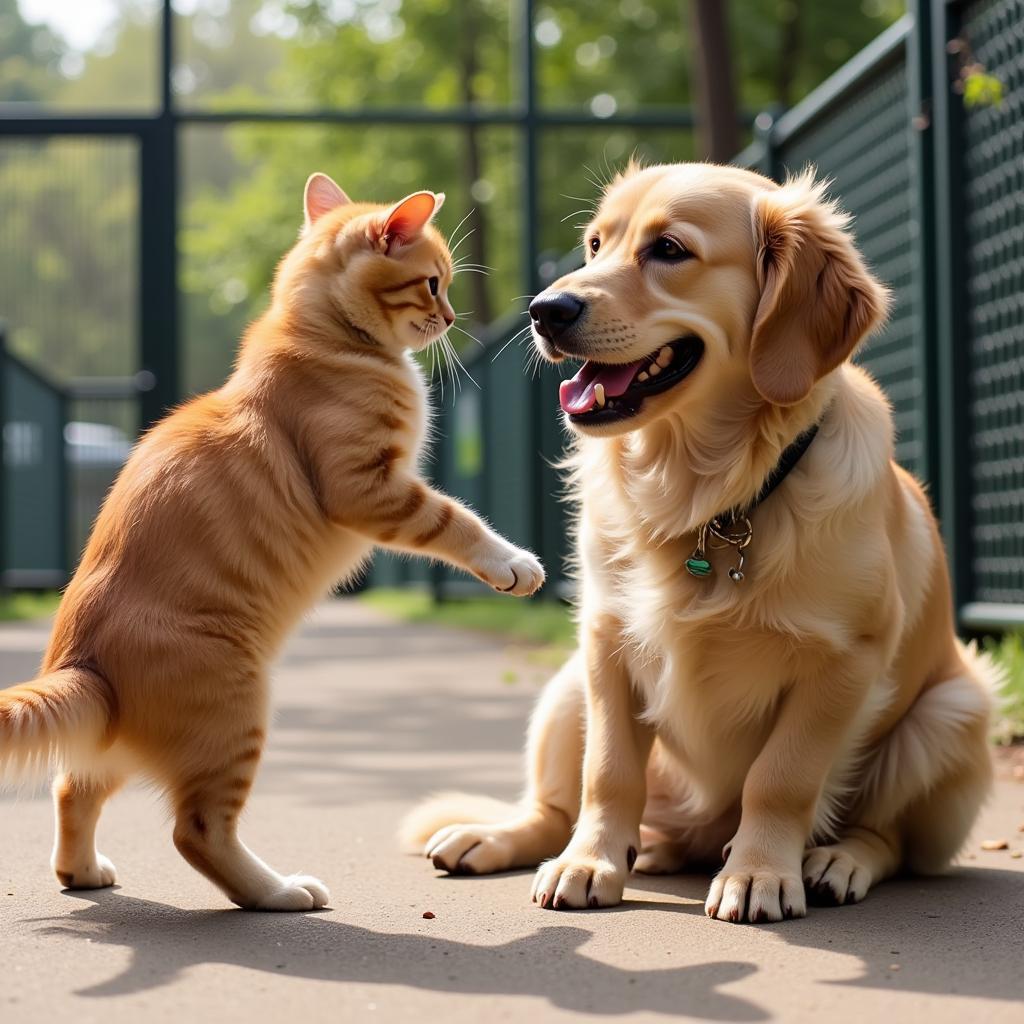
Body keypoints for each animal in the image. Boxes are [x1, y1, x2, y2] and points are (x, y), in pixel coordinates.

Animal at [0, 174, 544, 913]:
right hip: (237, 712)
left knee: (72, 788)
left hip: (122, 748)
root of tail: (81, 662)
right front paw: (512, 562)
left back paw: (82, 871)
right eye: (432, 283)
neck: (322, 339)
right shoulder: (369, 488)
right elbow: (457, 520)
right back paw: (279, 891)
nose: (453, 317)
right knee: (197, 831)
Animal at [401, 161, 999, 929]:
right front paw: (589, 863)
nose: (545, 310)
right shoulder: (605, 640)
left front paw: (759, 873)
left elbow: (781, 778)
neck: (707, 497)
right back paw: (505, 837)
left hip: (955, 711)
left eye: (669, 250)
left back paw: (836, 860)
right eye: (595, 245)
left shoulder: (844, 660)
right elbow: (608, 773)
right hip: (565, 690)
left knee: (888, 837)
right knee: (555, 806)